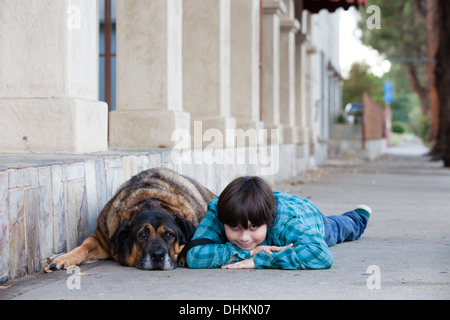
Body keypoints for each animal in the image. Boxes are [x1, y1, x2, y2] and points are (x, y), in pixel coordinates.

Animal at [47, 168, 216, 270]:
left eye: (169, 235)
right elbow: (83, 247)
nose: (157, 256)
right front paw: (63, 259)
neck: (148, 201)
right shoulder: (100, 239)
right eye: (142, 235)